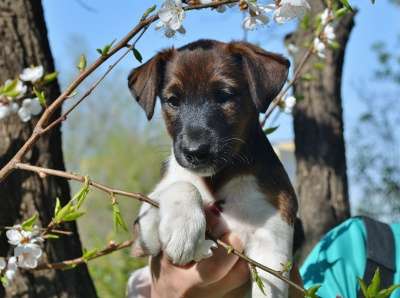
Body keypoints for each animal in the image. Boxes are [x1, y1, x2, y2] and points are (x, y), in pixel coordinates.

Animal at [127, 40, 296, 298]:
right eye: (173, 100)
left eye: (224, 95)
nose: (195, 151)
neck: (216, 178)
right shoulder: (143, 236)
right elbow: (181, 186)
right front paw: (184, 230)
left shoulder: (273, 239)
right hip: (136, 279)